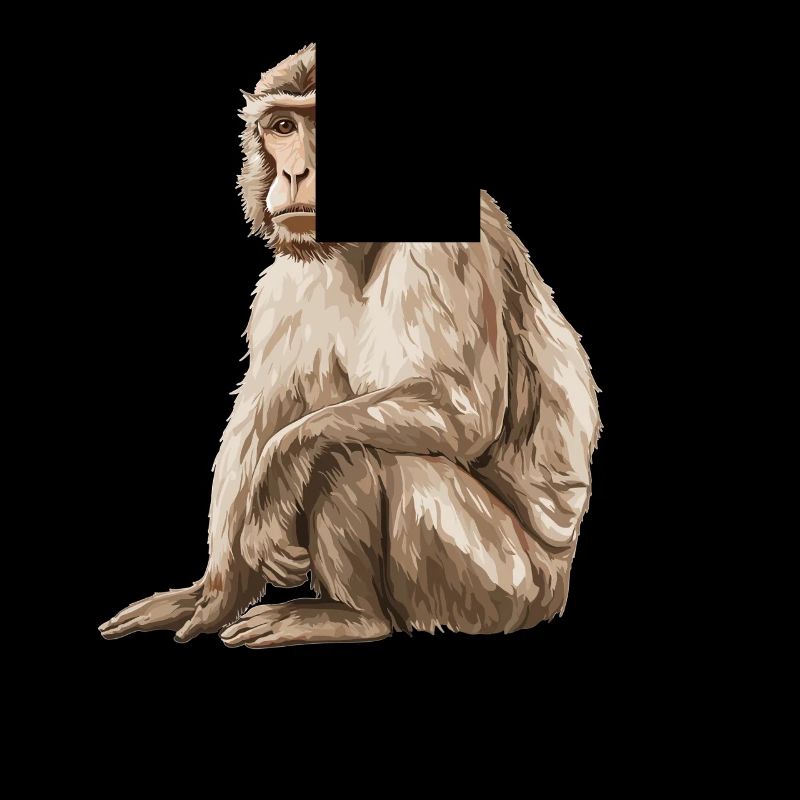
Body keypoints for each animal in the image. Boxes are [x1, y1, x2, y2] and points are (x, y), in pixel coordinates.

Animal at [99, 43, 600, 648]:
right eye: (284, 127)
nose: (295, 170)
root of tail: (556, 585)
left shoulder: (445, 245)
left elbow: (459, 414)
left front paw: (275, 481)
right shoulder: (288, 280)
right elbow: (259, 415)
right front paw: (214, 594)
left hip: (497, 587)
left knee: (352, 446)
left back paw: (353, 616)